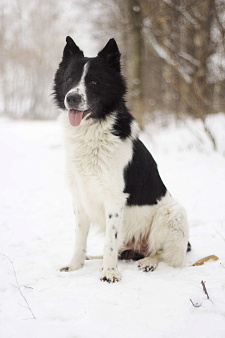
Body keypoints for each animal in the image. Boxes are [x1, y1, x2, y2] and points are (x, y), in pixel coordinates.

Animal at [53, 36, 190, 282]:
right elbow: (80, 237)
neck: (93, 131)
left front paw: (109, 273)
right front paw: (75, 265)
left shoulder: (114, 198)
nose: (72, 98)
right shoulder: (79, 196)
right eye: (69, 79)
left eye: (94, 82)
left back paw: (148, 262)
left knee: (165, 254)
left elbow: (110, 240)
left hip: (173, 213)